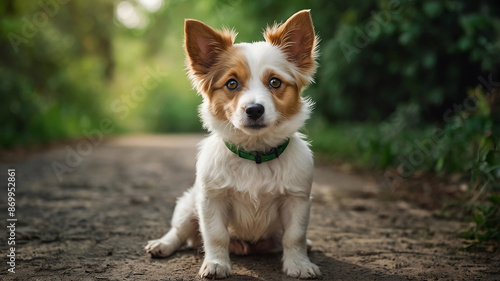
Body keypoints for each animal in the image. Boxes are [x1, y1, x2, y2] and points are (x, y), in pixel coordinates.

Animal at [146, 9, 320, 278]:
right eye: (231, 84)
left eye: (275, 83)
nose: (254, 110)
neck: (255, 154)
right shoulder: (211, 200)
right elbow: (216, 236)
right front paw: (217, 264)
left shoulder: (297, 200)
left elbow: (295, 237)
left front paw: (299, 265)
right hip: (188, 205)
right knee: (179, 232)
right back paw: (162, 245)